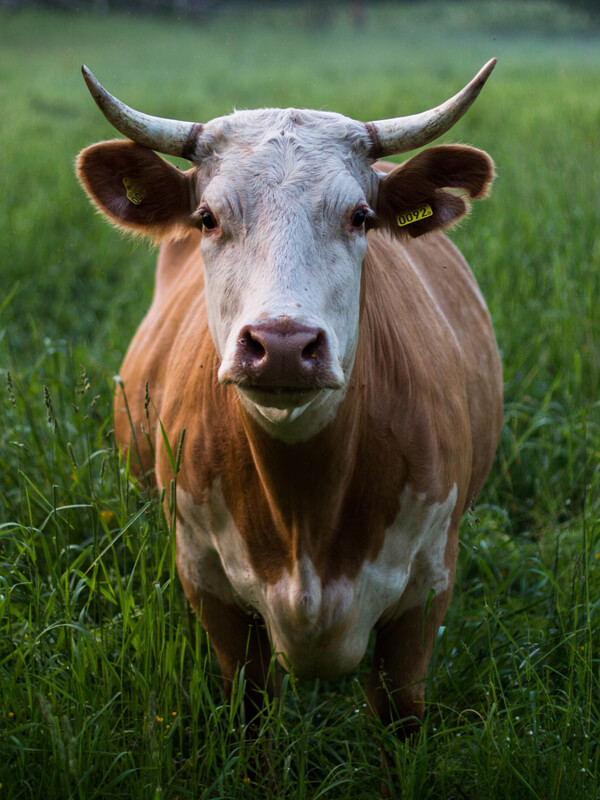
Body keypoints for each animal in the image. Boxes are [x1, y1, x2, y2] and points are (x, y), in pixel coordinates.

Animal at [76, 60, 503, 770]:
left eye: (361, 216)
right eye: (207, 217)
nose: (281, 344)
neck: (306, 511)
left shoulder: (426, 591)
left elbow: (400, 719)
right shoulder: (208, 584)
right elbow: (252, 719)